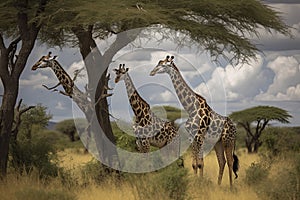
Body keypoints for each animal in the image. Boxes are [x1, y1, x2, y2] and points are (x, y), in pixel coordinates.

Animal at [150, 55, 239, 186]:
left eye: (163, 64)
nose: (152, 72)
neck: (191, 108)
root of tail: (235, 128)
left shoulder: (200, 136)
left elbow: (201, 163)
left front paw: (200, 184)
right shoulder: (192, 137)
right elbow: (194, 164)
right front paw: (195, 183)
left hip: (228, 140)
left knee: (230, 161)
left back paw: (231, 187)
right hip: (218, 142)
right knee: (222, 161)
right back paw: (218, 185)